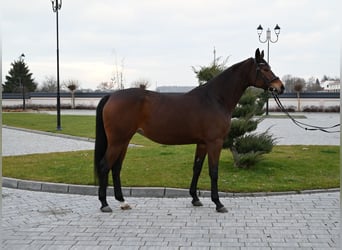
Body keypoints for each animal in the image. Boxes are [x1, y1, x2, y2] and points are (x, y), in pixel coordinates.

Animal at [93, 48, 284, 213]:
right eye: (265, 68)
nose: (280, 87)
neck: (215, 98)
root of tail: (112, 96)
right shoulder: (215, 142)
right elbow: (213, 171)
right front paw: (218, 203)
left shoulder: (203, 143)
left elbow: (197, 168)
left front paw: (195, 198)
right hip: (117, 141)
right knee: (104, 166)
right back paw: (104, 204)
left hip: (124, 140)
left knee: (116, 168)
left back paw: (122, 202)